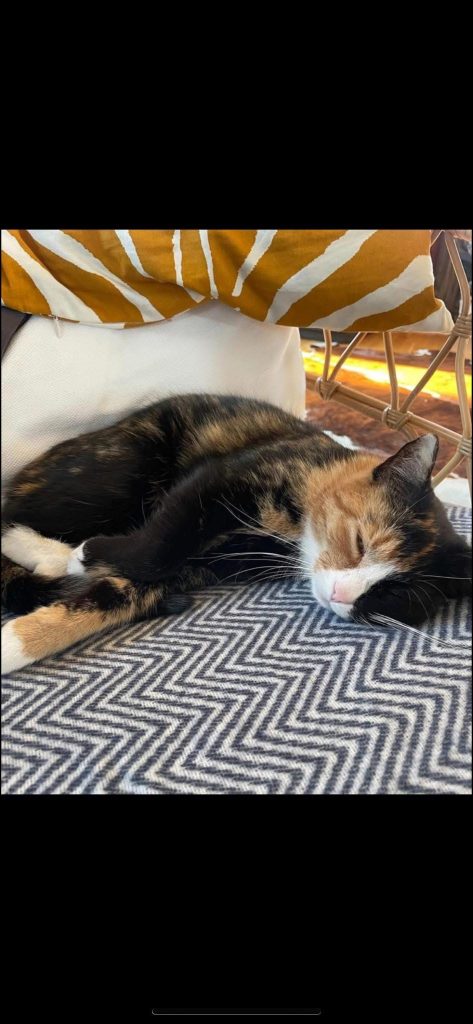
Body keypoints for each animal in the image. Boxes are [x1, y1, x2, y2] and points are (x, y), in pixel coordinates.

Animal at [1, 393, 471, 674]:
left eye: (393, 594)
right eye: (360, 543)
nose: (342, 595)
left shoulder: (197, 570)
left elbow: (114, 597)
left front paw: (14, 644)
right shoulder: (221, 478)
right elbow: (162, 542)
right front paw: (83, 554)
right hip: (119, 471)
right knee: (9, 513)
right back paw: (43, 548)